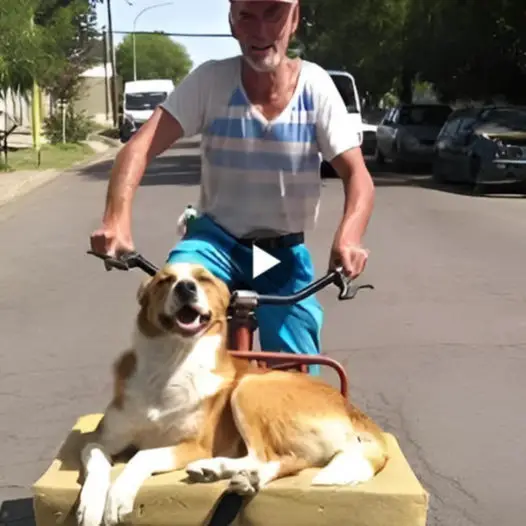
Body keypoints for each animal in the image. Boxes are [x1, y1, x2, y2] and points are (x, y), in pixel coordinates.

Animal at [76, 264, 390, 526]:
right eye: (165, 280)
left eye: (203, 279)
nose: (185, 287)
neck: (170, 364)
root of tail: (353, 410)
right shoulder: (101, 439)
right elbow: (97, 459)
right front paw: (91, 504)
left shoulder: (195, 445)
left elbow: (141, 456)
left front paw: (118, 496)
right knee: (288, 460)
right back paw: (235, 475)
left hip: (249, 387)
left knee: (266, 455)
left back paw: (220, 468)